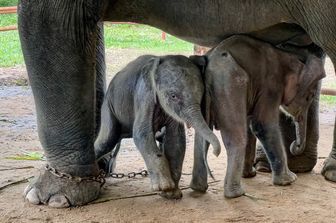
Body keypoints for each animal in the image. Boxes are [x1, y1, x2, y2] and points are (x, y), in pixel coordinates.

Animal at [94, 54, 220, 199]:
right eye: (173, 96)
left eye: (201, 94)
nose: (215, 153)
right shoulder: (144, 94)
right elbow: (141, 134)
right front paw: (165, 187)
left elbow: (176, 139)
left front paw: (172, 193)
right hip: (108, 107)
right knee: (107, 140)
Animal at [192, 35, 326, 198]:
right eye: (310, 97)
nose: (295, 145)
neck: (287, 56)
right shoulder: (270, 86)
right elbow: (262, 124)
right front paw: (290, 180)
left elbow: (250, 124)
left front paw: (250, 175)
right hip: (229, 84)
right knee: (236, 137)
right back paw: (235, 193)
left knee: (201, 136)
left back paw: (197, 188)